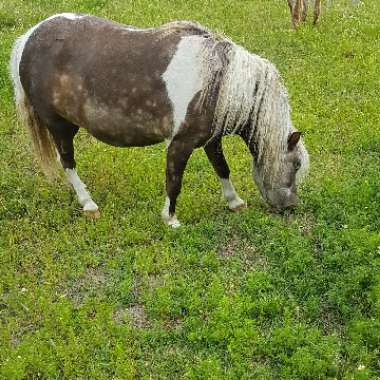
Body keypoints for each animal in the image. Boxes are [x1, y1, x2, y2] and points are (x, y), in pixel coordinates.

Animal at [10, 14, 308, 229]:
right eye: (295, 164)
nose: (291, 206)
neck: (217, 81)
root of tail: (29, 38)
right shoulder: (180, 144)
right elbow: (174, 181)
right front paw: (171, 219)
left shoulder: (211, 140)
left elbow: (222, 168)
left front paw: (235, 202)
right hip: (58, 125)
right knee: (67, 162)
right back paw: (89, 204)